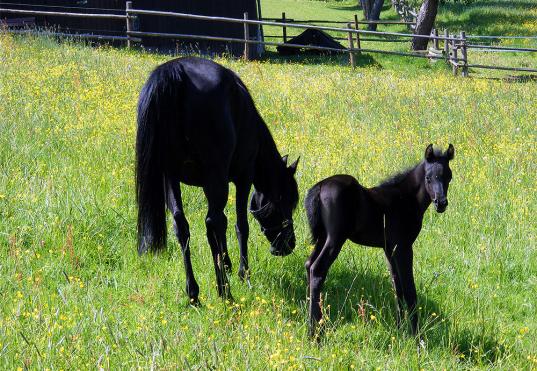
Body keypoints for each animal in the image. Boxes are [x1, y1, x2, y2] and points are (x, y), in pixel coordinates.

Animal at [135, 56, 298, 304]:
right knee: (214, 222)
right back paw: (225, 291)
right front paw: (242, 272)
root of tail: (176, 71)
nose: (289, 245)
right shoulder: (243, 178)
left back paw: (193, 293)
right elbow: (240, 226)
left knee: (182, 225)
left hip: (170, 176)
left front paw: (227, 263)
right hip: (216, 177)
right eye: (288, 201)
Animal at [306, 145, 452, 338]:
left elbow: (397, 286)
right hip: (335, 238)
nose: (441, 203)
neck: (405, 199)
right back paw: (316, 333)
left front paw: (399, 330)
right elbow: (409, 289)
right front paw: (416, 336)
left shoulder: (389, 249)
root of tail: (320, 187)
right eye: (428, 177)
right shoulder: (403, 247)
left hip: (323, 237)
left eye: (449, 176)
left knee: (309, 264)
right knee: (317, 269)